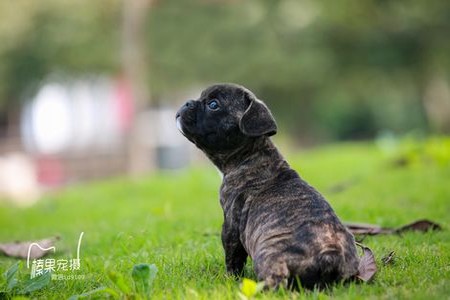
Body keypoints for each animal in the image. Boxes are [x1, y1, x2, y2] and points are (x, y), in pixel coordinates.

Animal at [175, 83, 358, 290]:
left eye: (213, 104)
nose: (187, 102)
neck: (252, 155)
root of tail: (329, 254)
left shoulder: (230, 225)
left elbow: (233, 257)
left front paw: (230, 279)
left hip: (268, 257)